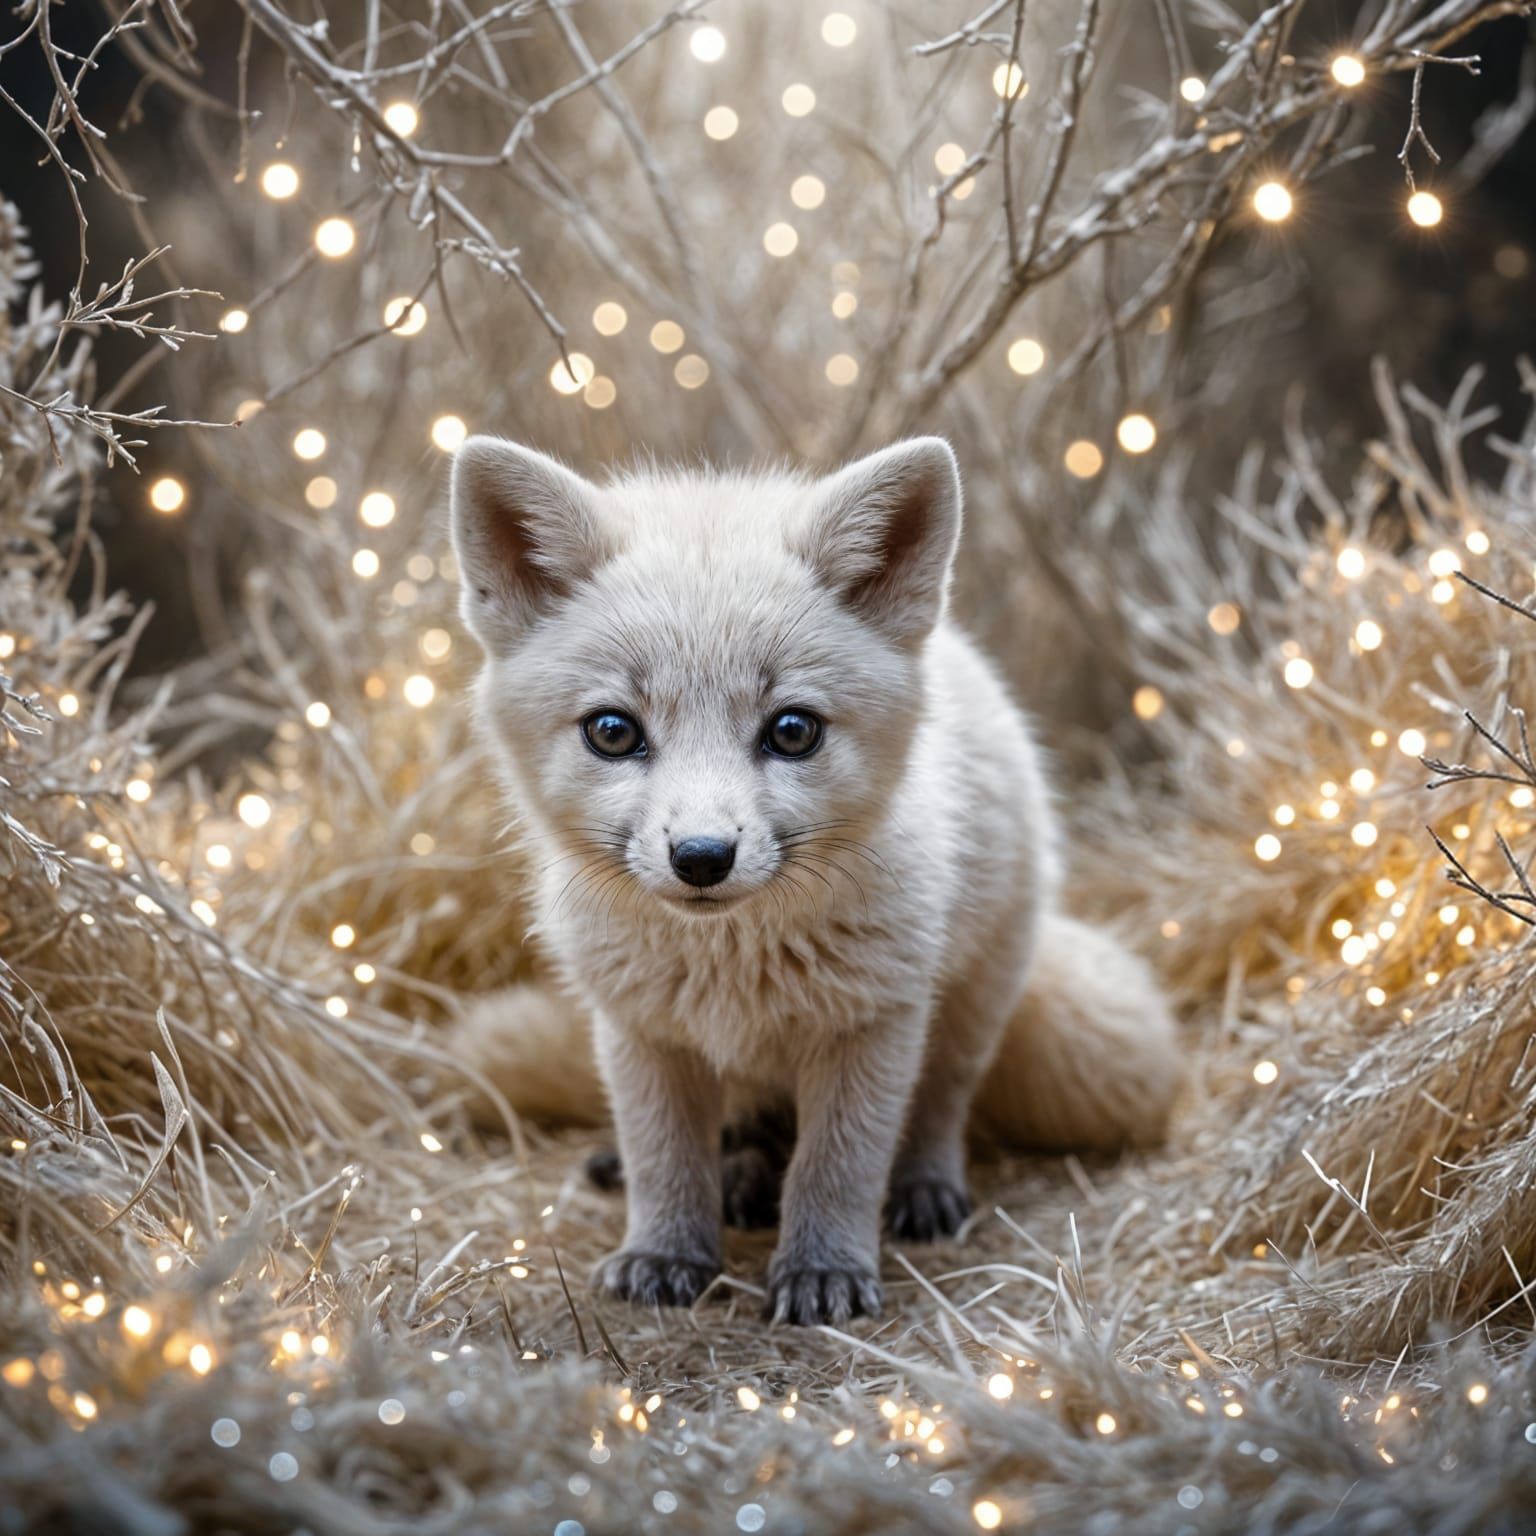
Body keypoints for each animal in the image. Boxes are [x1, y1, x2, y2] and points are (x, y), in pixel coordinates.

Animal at [449, 434, 1180, 1326]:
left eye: (792, 731)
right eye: (613, 732)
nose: (702, 857)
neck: (732, 967)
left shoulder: (871, 1023)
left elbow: (837, 1166)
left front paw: (822, 1272)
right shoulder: (640, 1030)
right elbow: (664, 1160)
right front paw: (666, 1254)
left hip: (973, 1003)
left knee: (941, 1106)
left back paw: (922, 1188)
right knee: (738, 1133)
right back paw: (731, 1175)